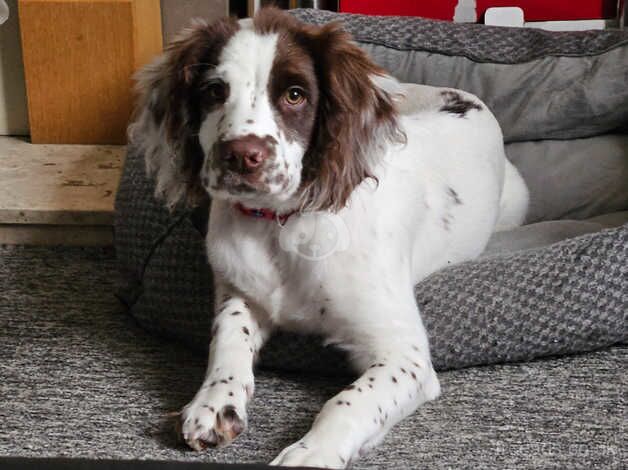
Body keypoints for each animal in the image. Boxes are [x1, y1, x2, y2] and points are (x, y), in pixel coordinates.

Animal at [131, 6, 528, 466]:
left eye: (295, 95)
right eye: (214, 91)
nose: (242, 156)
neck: (281, 225)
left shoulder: (405, 355)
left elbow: (348, 401)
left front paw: (309, 454)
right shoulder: (238, 291)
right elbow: (227, 340)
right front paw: (212, 403)